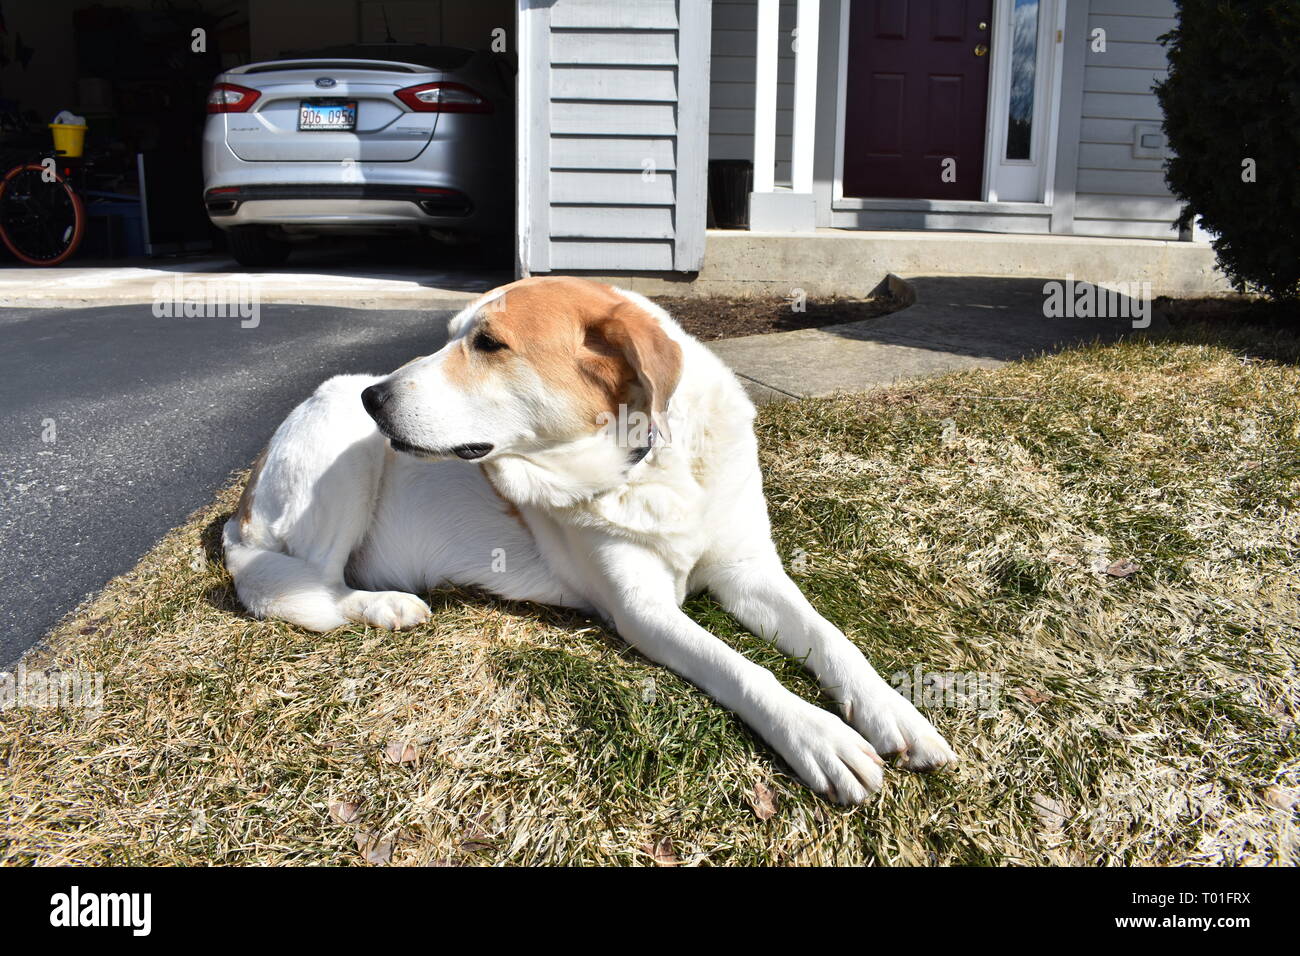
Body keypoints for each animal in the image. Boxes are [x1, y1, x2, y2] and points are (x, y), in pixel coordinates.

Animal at [223, 274, 956, 801]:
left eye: (487, 344)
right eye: (453, 337)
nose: (377, 398)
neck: (651, 465)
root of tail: (238, 513)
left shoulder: (750, 570)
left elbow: (832, 639)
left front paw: (893, 710)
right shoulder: (642, 611)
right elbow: (741, 668)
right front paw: (817, 735)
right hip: (344, 443)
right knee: (314, 586)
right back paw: (386, 606)